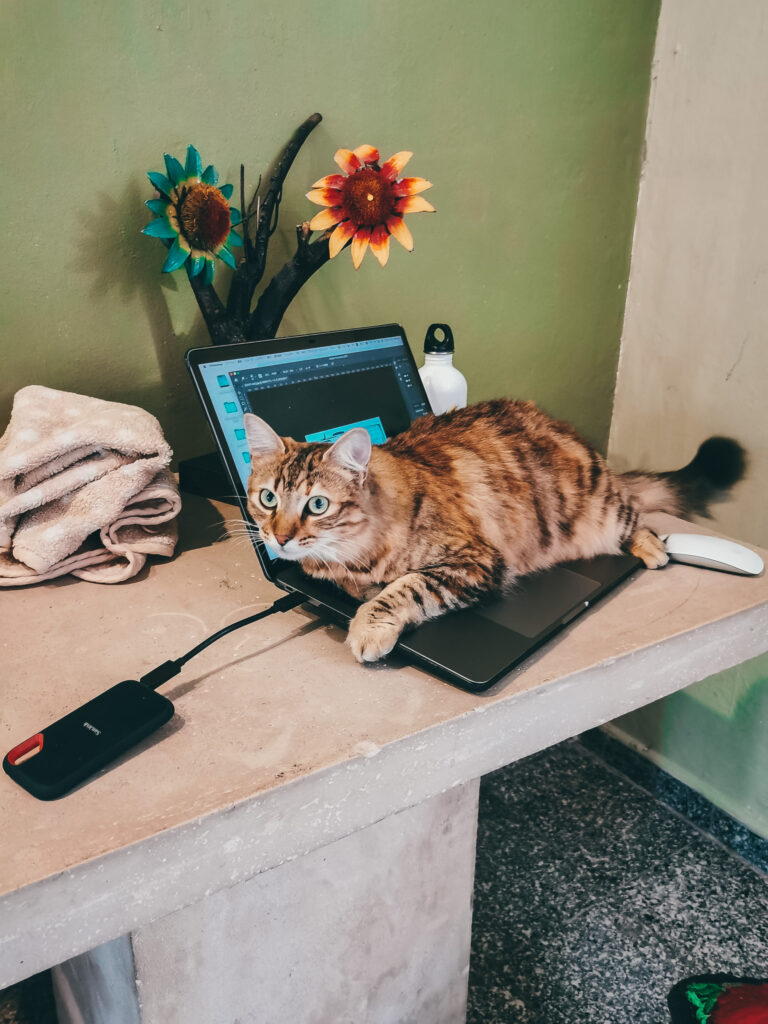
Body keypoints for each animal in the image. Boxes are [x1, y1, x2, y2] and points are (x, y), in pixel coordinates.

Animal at [243, 399, 749, 663]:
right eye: (267, 499)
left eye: (317, 505)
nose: (279, 538)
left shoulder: (475, 560)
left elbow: (404, 587)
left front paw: (368, 626)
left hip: (606, 507)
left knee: (639, 517)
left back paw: (651, 547)